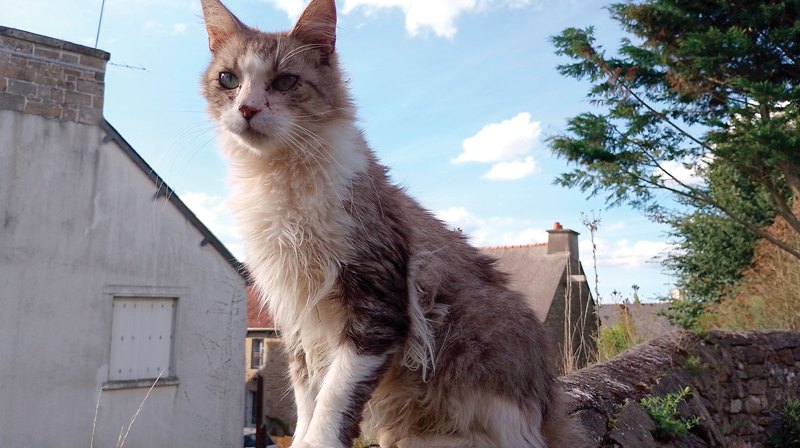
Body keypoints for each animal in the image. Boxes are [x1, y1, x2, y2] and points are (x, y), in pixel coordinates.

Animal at [200, 0, 584, 448]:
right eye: (228, 79)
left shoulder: (377, 301)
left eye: (285, 82)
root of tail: (550, 405)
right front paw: (301, 439)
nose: (247, 109)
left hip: (483, 328)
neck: (279, 180)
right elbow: (307, 395)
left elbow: (333, 398)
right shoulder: (294, 314)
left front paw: (318, 440)